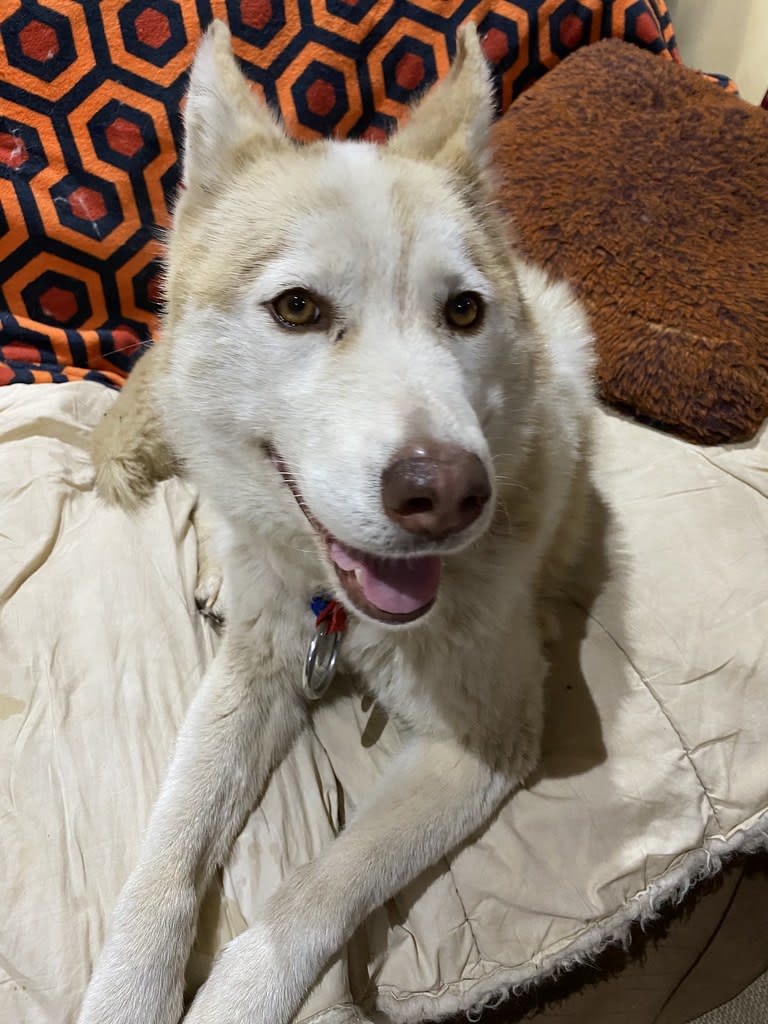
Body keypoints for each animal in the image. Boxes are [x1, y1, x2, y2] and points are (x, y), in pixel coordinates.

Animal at [79, 19, 594, 1024]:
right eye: (297, 308)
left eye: (464, 310)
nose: (448, 493)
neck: (336, 615)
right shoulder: (251, 670)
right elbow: (166, 857)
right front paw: (127, 991)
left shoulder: (487, 741)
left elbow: (316, 891)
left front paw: (236, 998)